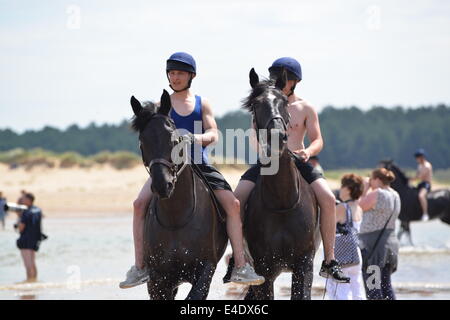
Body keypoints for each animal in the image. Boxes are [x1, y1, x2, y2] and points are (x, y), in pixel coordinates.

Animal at [130, 90, 229, 300]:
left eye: (174, 140)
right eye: (142, 142)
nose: (163, 184)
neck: (175, 218)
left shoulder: (205, 269)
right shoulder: (157, 279)